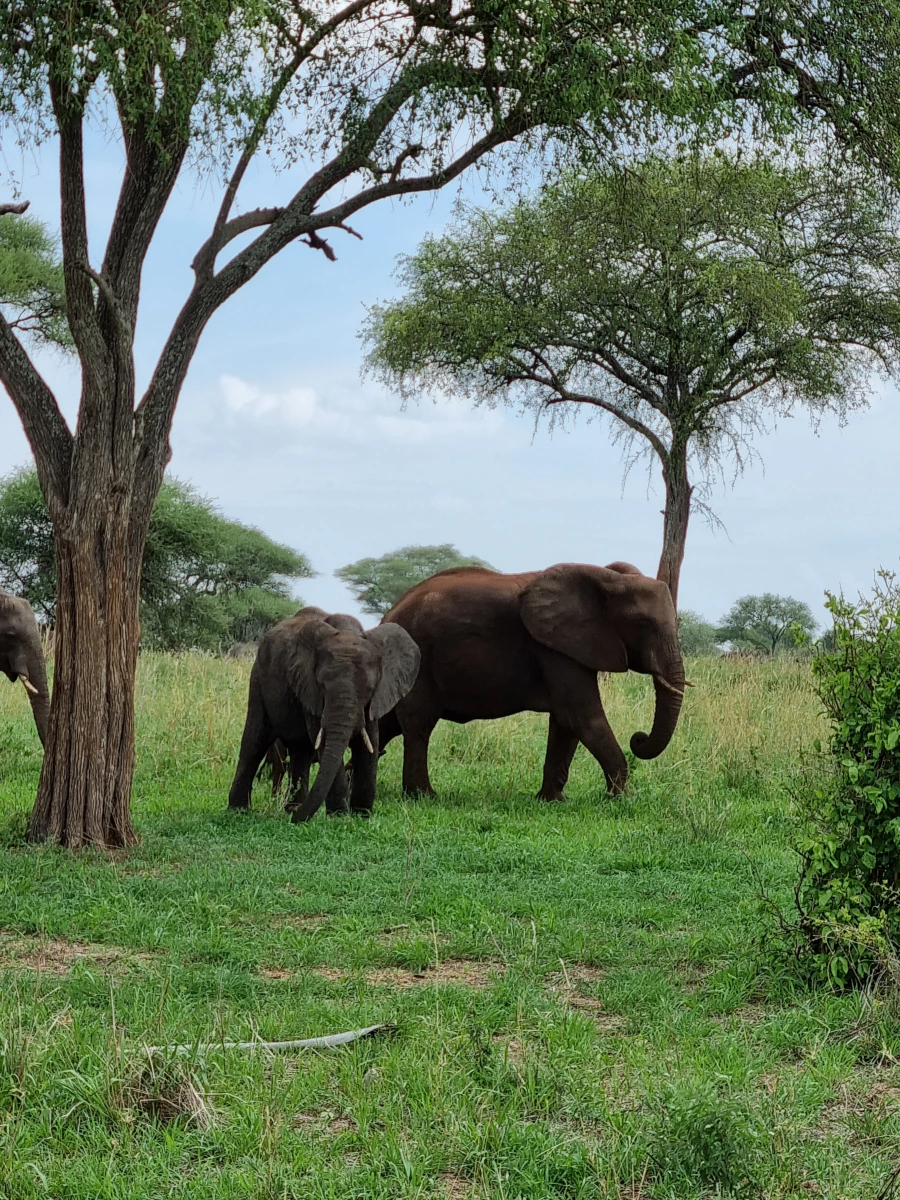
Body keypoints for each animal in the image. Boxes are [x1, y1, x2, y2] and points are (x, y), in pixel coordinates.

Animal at [226, 604, 422, 820]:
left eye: (370, 689)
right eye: (322, 685)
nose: (296, 820)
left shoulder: (374, 702)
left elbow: (369, 742)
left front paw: (362, 815)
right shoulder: (309, 690)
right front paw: (339, 817)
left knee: (300, 752)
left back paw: (292, 808)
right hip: (259, 680)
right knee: (254, 742)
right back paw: (240, 811)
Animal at [379, 559, 681, 796]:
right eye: (643, 624)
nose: (638, 738)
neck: (606, 578)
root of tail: (388, 615)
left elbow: (565, 723)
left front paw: (551, 800)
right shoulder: (553, 648)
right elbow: (581, 715)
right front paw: (620, 798)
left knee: (388, 724)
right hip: (418, 662)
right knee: (418, 725)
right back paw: (423, 796)